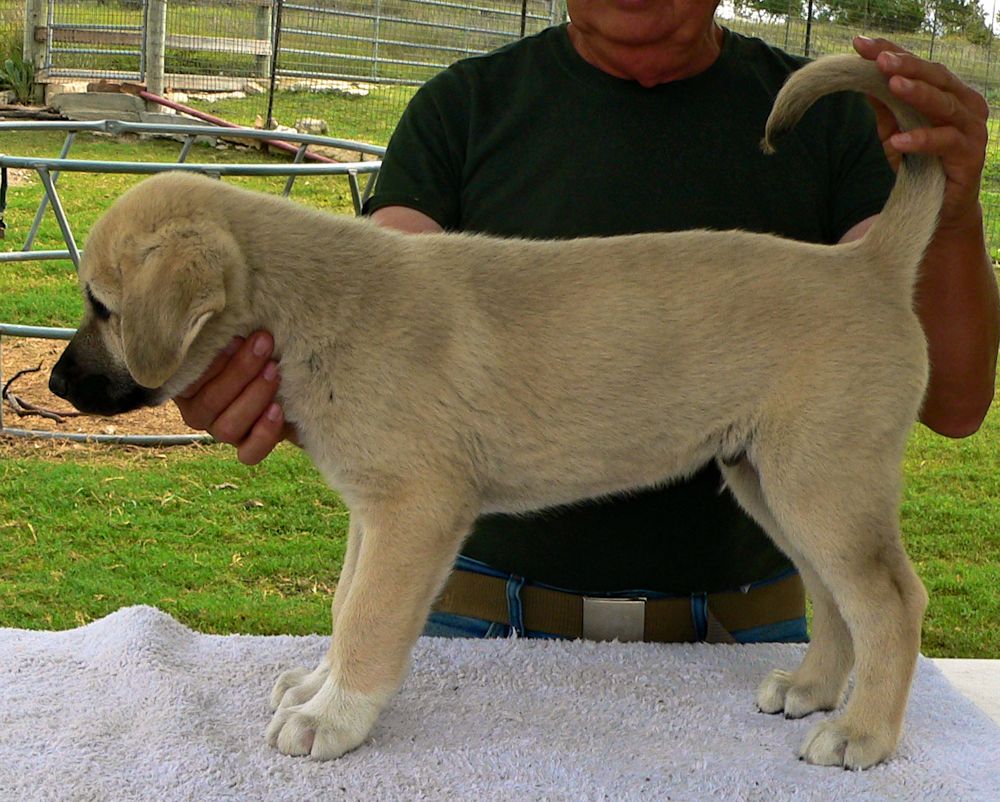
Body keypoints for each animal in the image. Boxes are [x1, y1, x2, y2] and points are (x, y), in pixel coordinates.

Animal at [50, 53, 940, 764]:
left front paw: (331, 720)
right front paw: (316, 685)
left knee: (891, 603)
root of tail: (868, 265)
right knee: (834, 596)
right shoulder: (374, 513)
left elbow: (369, 618)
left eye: (103, 307)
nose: (56, 387)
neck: (315, 306)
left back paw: (860, 734)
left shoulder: (416, 510)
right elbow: (344, 603)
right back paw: (815, 689)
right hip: (772, 480)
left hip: (822, 481)